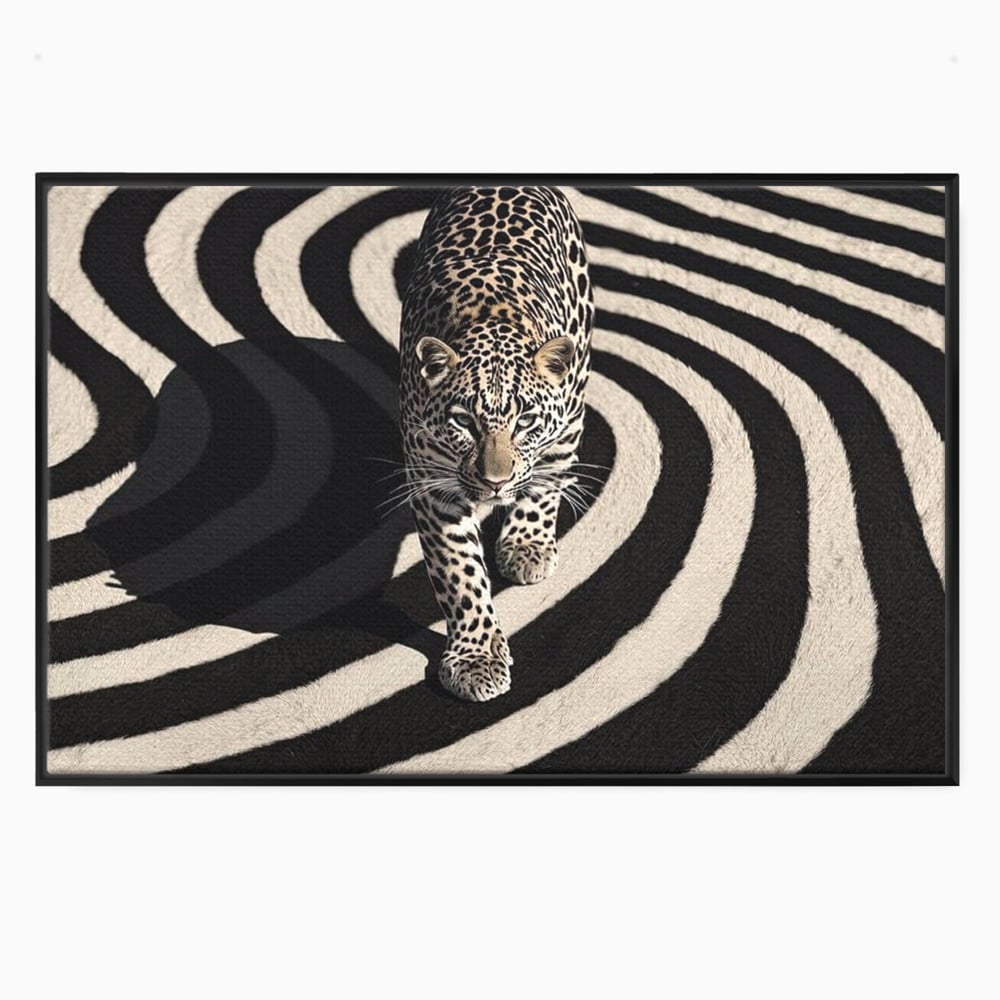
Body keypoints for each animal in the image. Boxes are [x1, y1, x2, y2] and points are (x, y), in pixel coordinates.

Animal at [398, 185, 594, 702]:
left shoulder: (562, 429)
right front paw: (477, 658)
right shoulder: (434, 486)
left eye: (525, 421)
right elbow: (459, 573)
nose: (494, 482)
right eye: (463, 422)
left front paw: (526, 545)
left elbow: (543, 485)